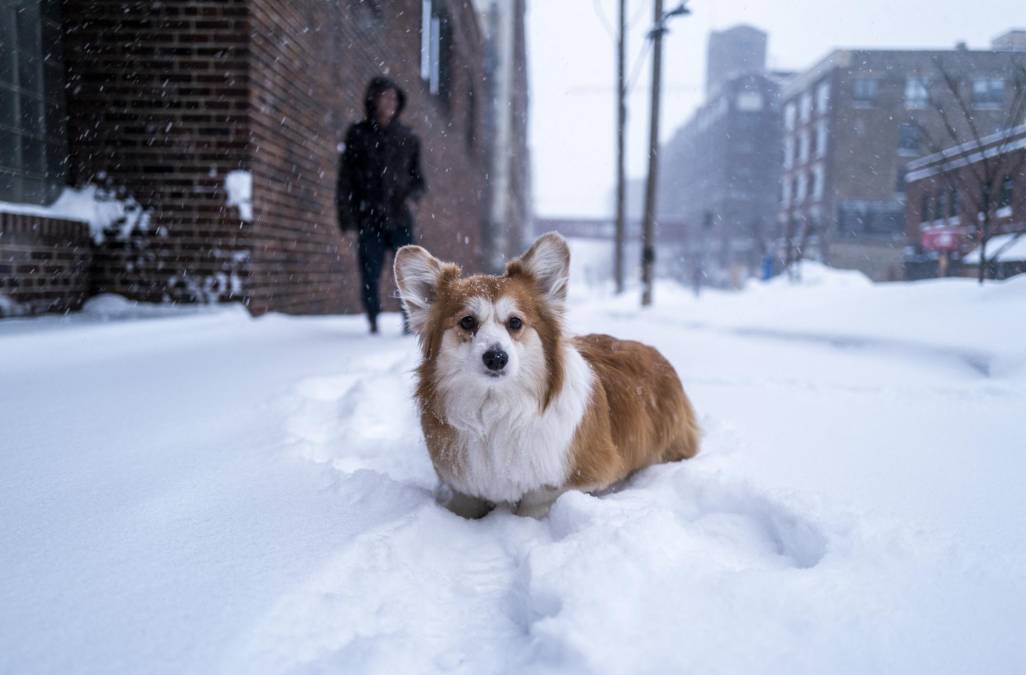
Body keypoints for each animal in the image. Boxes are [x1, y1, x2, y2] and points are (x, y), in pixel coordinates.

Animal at [391, 229, 697, 514]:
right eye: (467, 322)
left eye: (515, 322)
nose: (496, 358)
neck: (495, 407)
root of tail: (656, 355)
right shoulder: (461, 483)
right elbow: (465, 503)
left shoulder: (585, 474)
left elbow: (537, 498)